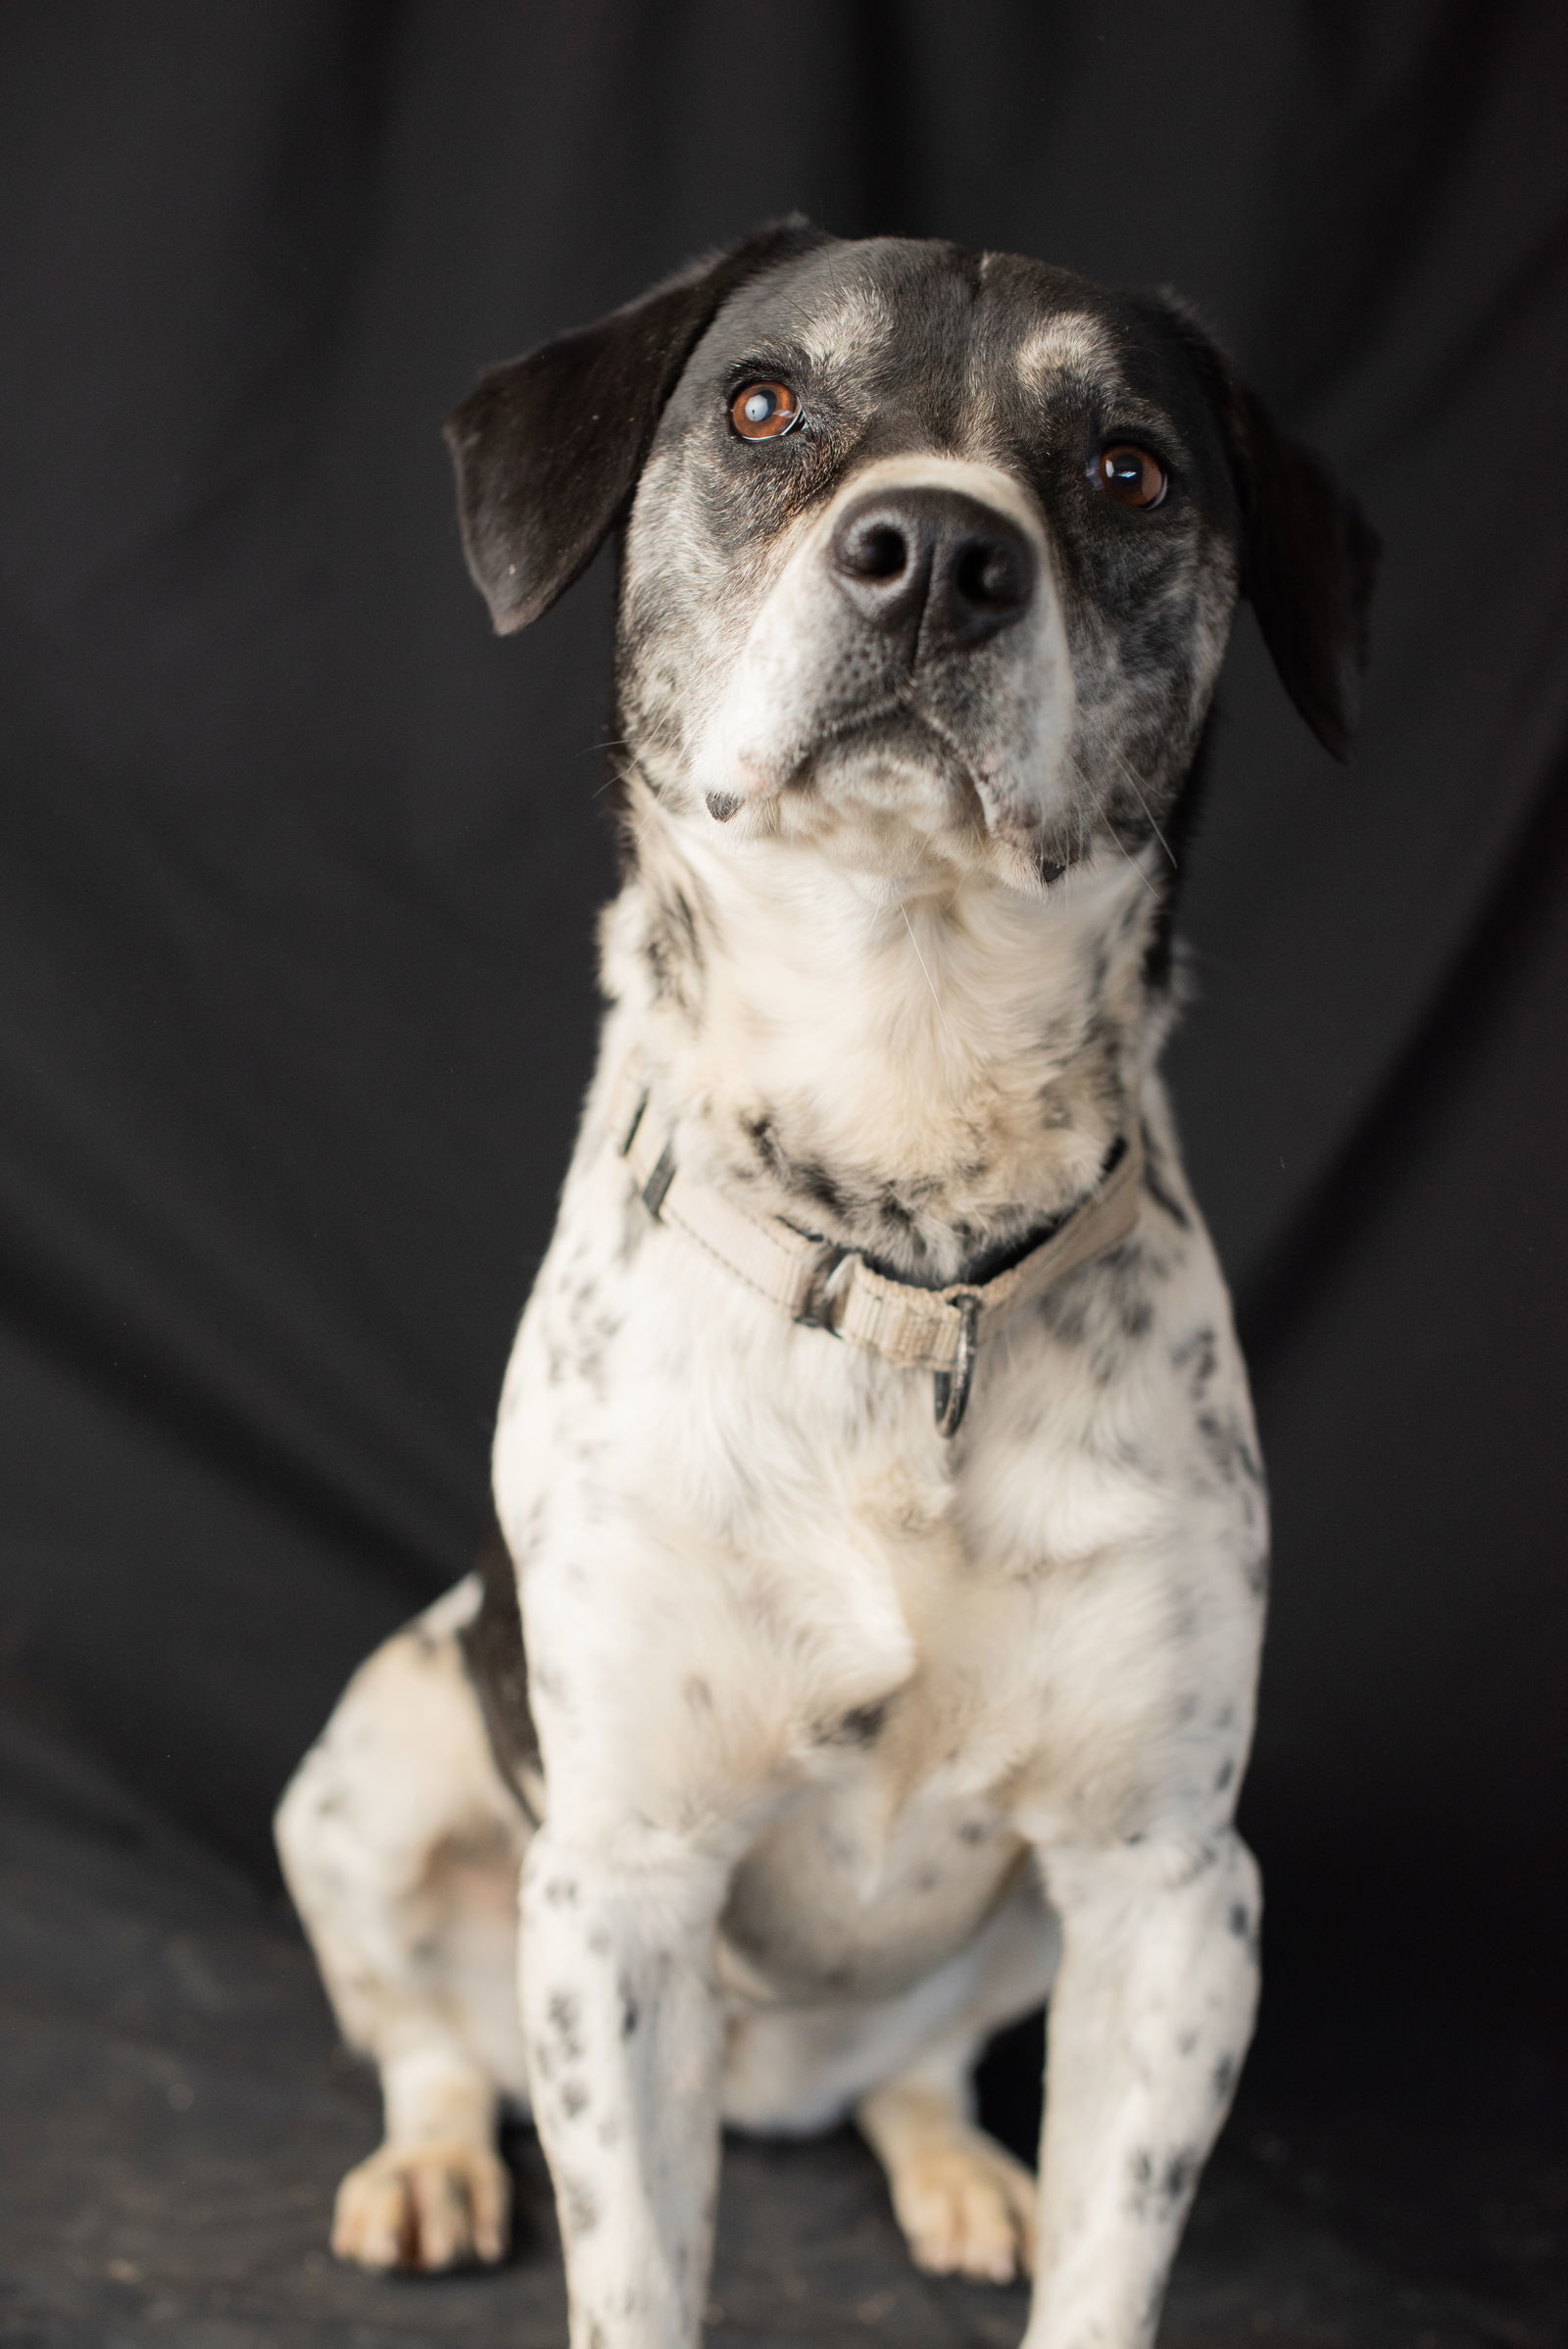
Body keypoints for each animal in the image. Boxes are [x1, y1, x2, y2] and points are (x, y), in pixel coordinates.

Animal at [277, 220, 1370, 2349]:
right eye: (764, 402)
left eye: (1128, 467)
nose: (936, 551)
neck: (905, 1210)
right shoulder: (616, 1882)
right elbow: (633, 2268)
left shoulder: (1175, 1888)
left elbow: (1110, 2269)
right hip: (368, 1767)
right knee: (425, 2035)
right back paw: (431, 2165)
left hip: (1022, 1940)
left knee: (918, 2070)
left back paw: (956, 2171)